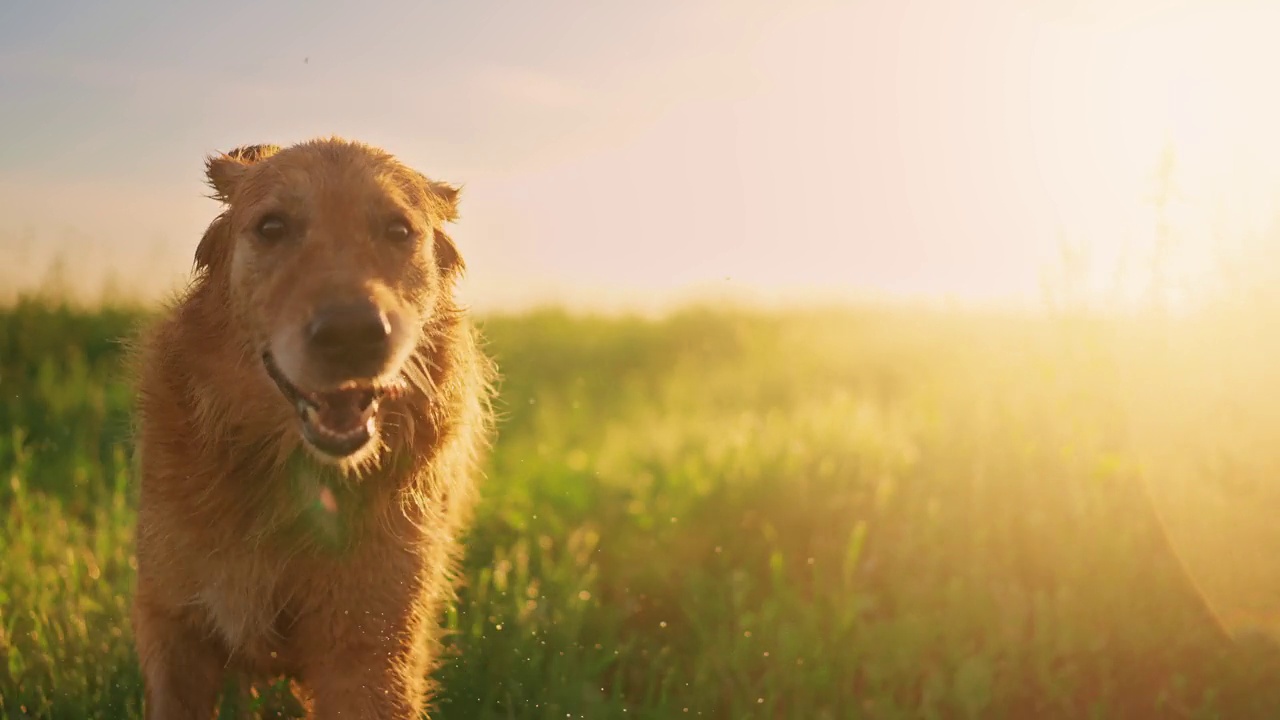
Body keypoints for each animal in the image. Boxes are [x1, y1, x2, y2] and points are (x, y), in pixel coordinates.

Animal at [126, 137, 494, 712]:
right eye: (272, 226)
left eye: (398, 230)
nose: (351, 334)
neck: (291, 473)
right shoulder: (173, 624)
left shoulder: (371, 653)